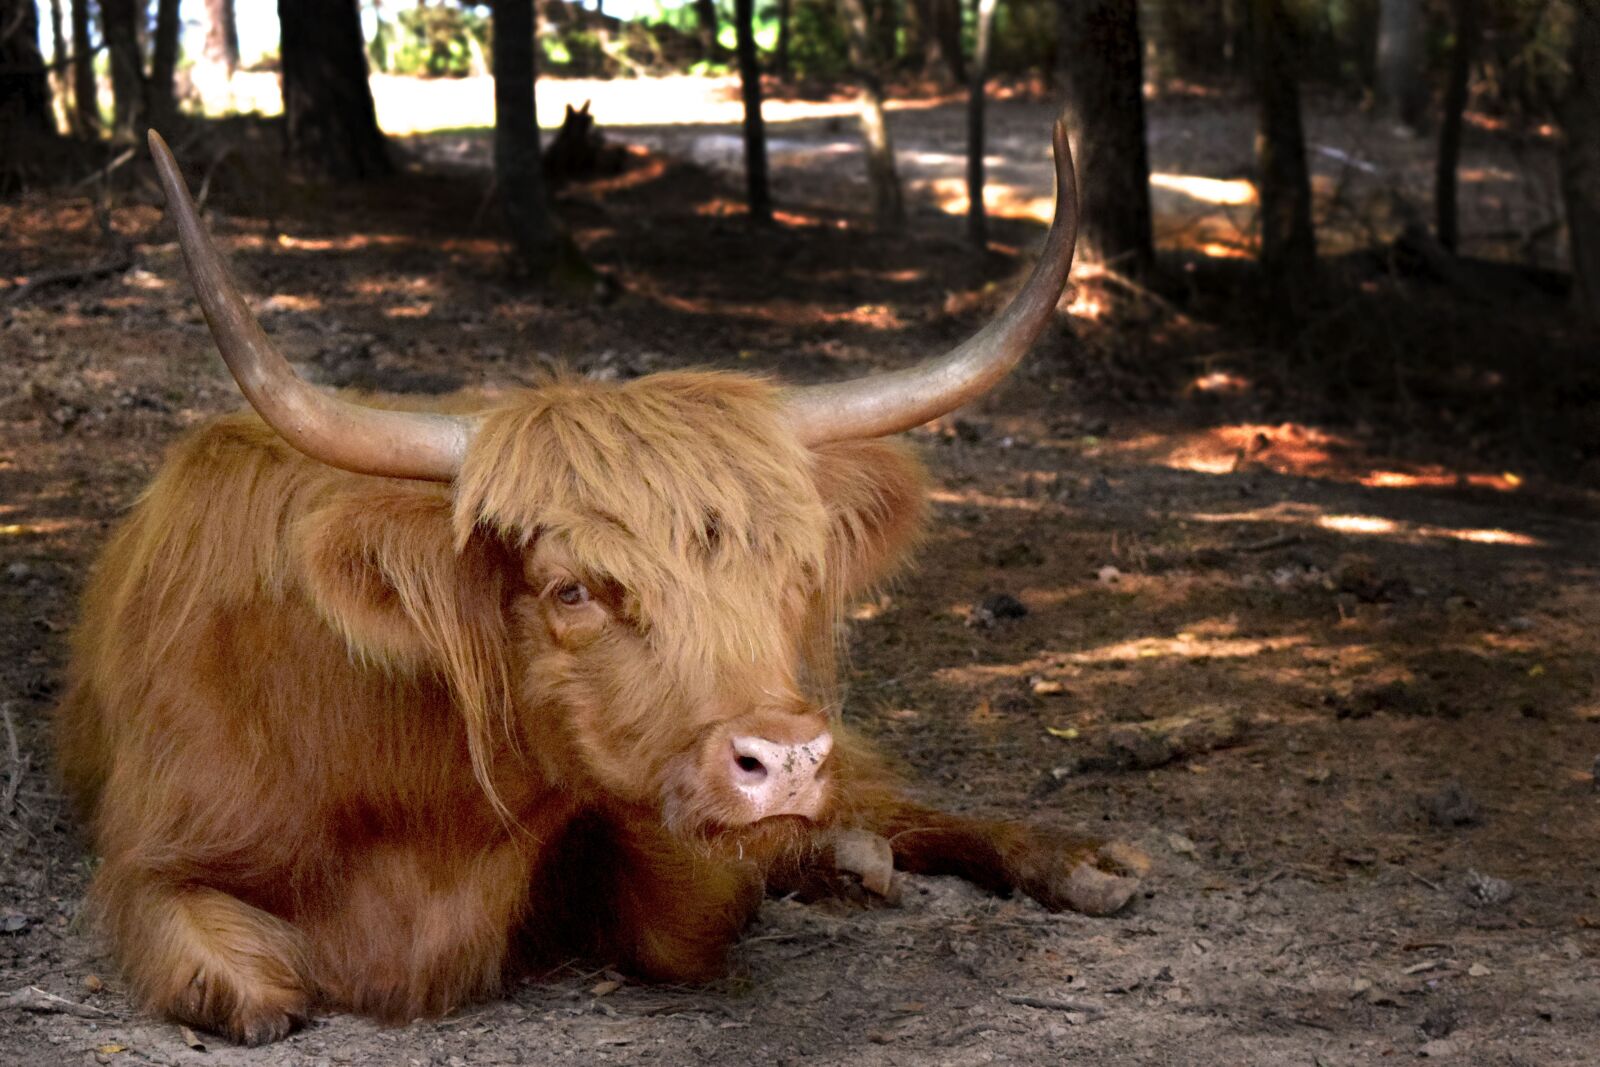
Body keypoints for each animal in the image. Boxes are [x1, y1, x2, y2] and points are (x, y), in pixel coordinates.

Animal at [54, 117, 1143, 1047]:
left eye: (795, 574)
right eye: (573, 590)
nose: (786, 759)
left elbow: (688, 912)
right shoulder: (153, 858)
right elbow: (244, 988)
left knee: (894, 801)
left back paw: (1070, 861)